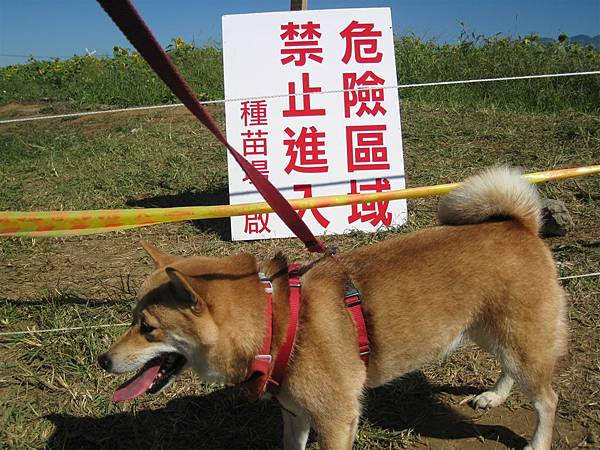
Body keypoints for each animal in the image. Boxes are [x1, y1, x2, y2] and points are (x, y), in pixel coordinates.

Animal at [98, 167, 568, 448]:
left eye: (147, 327)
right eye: (133, 320)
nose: (103, 360)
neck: (278, 324)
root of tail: (517, 225)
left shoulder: (336, 419)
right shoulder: (295, 414)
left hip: (520, 339)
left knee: (547, 398)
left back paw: (537, 441)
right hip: (494, 333)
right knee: (511, 371)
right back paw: (493, 396)